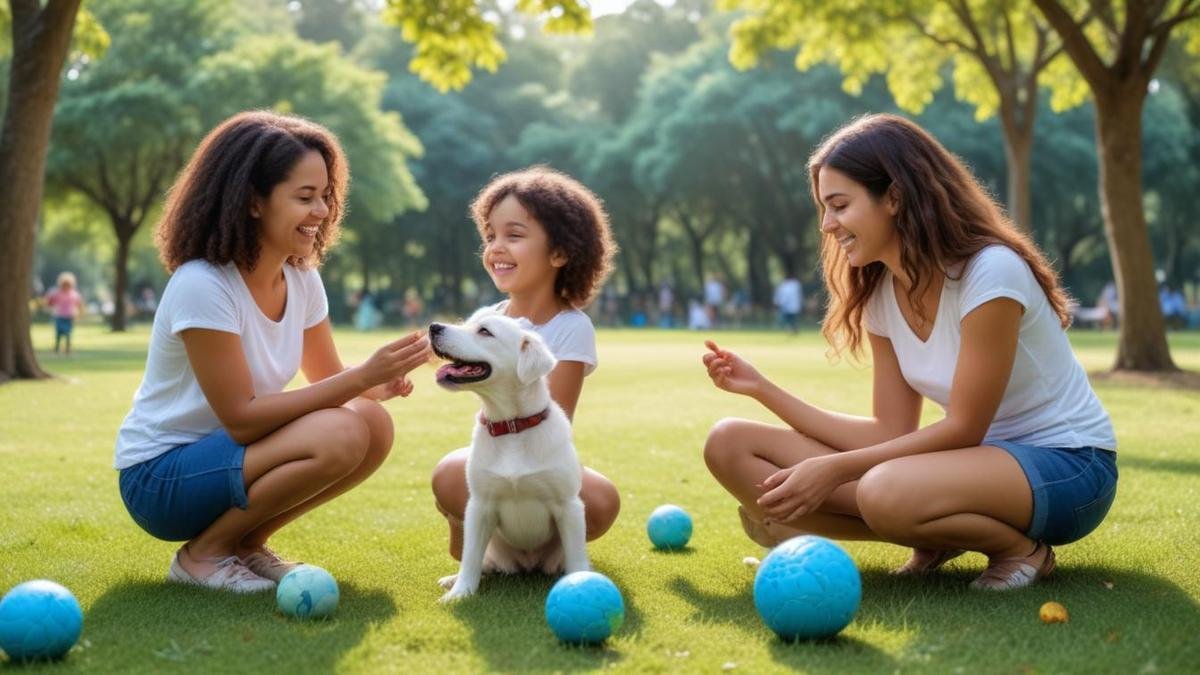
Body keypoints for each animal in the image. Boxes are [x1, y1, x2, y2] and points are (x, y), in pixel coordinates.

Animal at [432, 309, 590, 598]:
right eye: (467, 323)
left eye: (484, 331)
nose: (433, 327)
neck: (512, 427)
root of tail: (526, 564)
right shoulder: (479, 505)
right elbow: (469, 557)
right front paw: (460, 593)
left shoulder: (568, 505)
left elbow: (576, 559)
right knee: (480, 563)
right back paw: (453, 579)